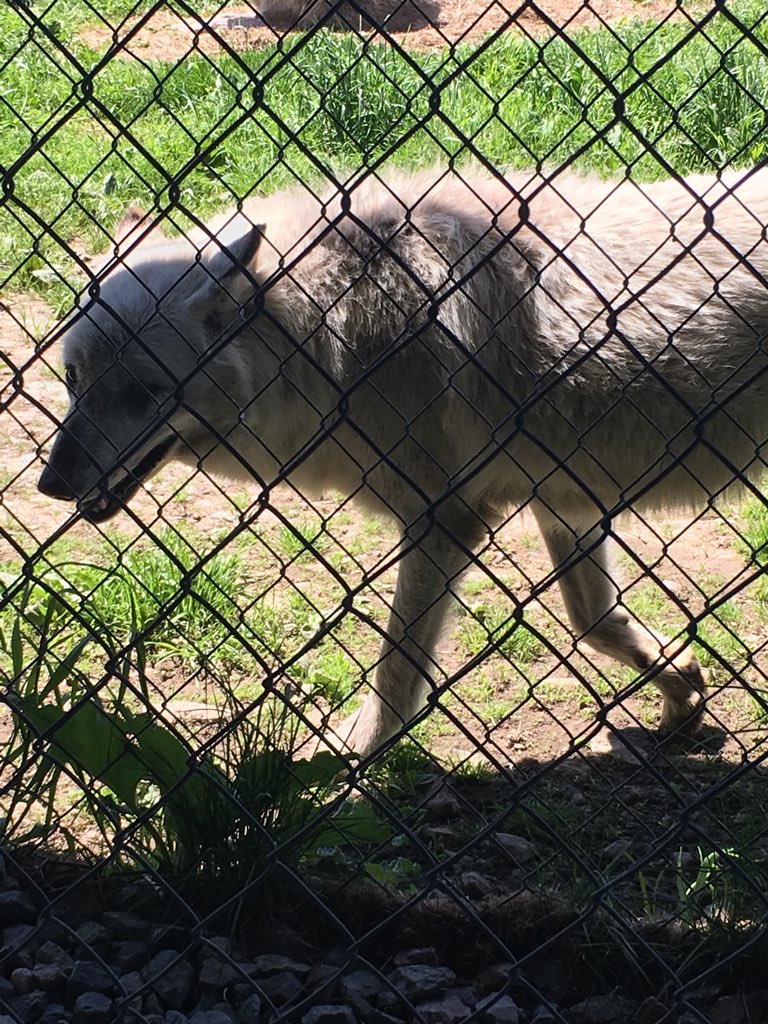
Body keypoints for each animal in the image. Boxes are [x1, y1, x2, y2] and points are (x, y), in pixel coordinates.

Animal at [37, 163, 768, 756]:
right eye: (74, 381)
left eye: (146, 393)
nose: (51, 484)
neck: (330, 336)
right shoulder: (563, 500)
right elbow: (596, 623)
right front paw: (683, 689)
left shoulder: (445, 521)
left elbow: (394, 670)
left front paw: (348, 754)